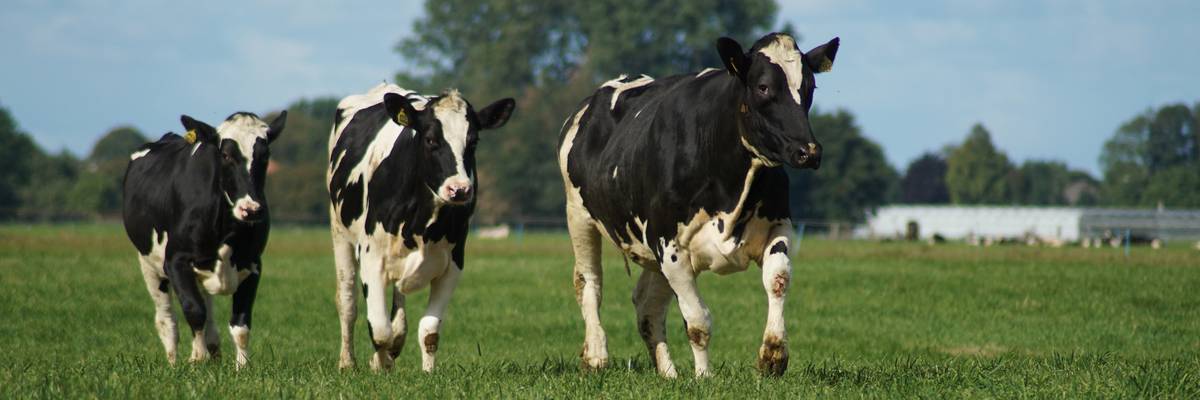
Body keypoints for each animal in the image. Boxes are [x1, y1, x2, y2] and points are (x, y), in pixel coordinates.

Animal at [123, 111, 286, 369]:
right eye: (226, 155)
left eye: (265, 155)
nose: (251, 209)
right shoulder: (176, 261)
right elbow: (194, 309)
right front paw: (196, 359)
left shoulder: (253, 263)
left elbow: (241, 323)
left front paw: (242, 367)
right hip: (149, 264)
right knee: (166, 319)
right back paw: (173, 361)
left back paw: (213, 348)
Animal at [327, 83, 514, 371]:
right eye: (430, 140)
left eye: (473, 142)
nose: (459, 189)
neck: (423, 221)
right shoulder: (372, 257)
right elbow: (379, 329)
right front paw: (380, 364)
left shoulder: (453, 263)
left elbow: (429, 331)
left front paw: (427, 372)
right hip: (340, 234)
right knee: (347, 301)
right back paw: (348, 362)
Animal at [557, 32, 839, 378]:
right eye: (763, 87)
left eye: (810, 87)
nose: (808, 151)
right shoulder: (670, 247)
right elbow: (698, 322)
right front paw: (704, 377)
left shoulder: (778, 224)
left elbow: (778, 280)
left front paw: (773, 354)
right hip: (579, 216)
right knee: (589, 283)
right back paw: (597, 356)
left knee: (647, 305)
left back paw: (668, 374)